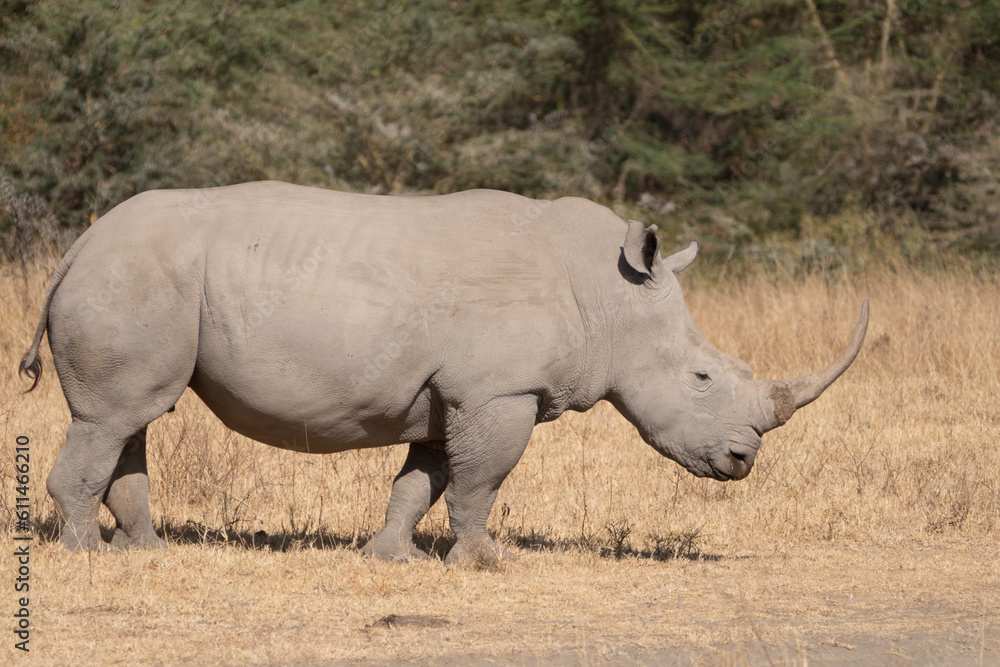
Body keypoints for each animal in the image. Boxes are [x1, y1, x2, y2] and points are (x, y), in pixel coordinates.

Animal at [21, 183, 868, 564]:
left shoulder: (448, 396)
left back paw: (148, 550)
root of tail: (76, 246)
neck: (608, 294)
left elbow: (421, 480)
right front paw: (489, 560)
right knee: (111, 417)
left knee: (133, 416)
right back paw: (88, 553)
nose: (743, 459)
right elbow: (479, 481)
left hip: (146, 279)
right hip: (131, 275)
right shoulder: (499, 391)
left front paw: (390, 557)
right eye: (702, 378)